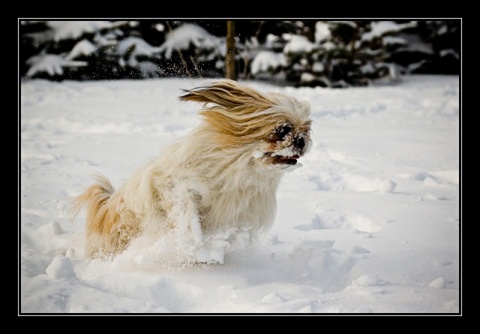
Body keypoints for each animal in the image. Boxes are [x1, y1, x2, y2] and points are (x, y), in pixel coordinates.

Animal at [71, 79, 312, 260]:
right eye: (283, 130)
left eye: (307, 129)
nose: (301, 140)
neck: (238, 170)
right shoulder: (171, 184)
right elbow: (186, 210)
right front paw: (192, 241)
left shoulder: (238, 213)